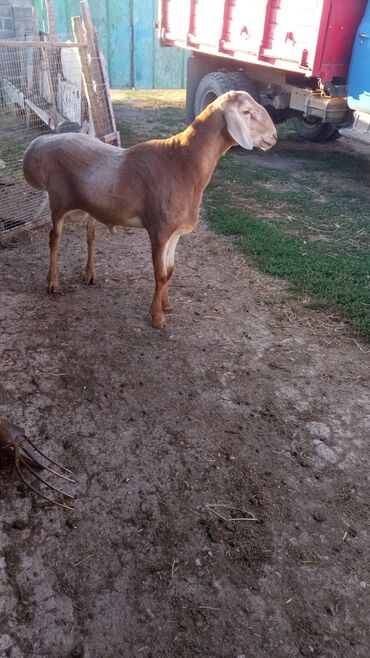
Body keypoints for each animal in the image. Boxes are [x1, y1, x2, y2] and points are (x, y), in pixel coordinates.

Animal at [22, 91, 278, 326]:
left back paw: (90, 274)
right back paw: (53, 282)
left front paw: (166, 304)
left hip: (90, 207)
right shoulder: (159, 230)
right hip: (58, 202)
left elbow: (170, 271)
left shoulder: (175, 233)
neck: (183, 164)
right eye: (246, 112)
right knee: (54, 239)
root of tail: (40, 145)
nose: (274, 137)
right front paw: (156, 316)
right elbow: (160, 274)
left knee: (90, 236)